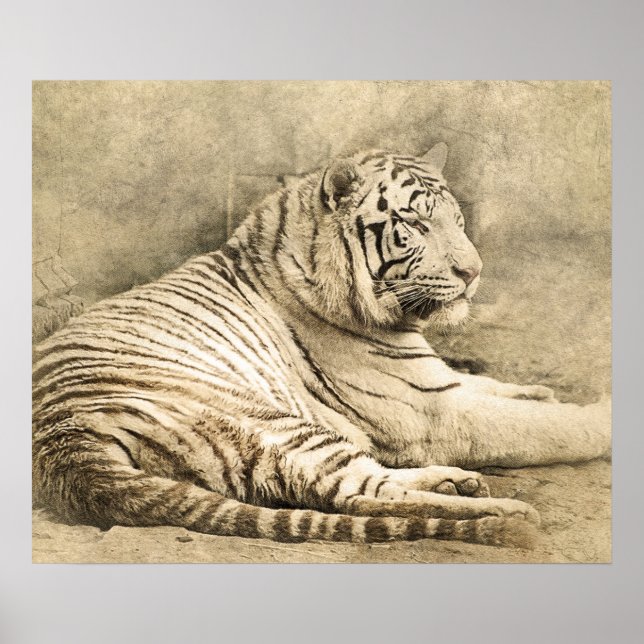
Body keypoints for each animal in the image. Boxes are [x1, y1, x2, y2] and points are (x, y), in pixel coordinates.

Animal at [32, 143, 611, 549]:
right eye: (416, 223)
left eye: (458, 221)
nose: (474, 273)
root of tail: (65, 450)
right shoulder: (430, 412)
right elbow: (548, 429)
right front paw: (594, 415)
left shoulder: (435, 380)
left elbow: (491, 383)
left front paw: (543, 392)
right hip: (272, 422)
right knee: (356, 493)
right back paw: (507, 513)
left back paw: (459, 486)